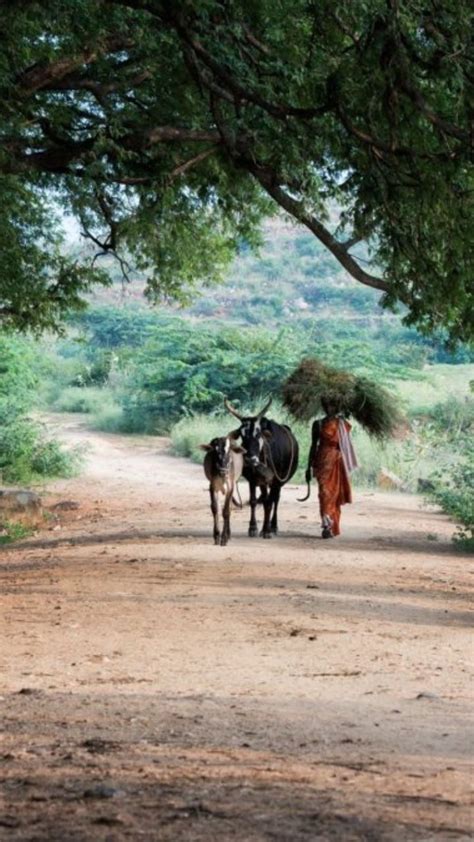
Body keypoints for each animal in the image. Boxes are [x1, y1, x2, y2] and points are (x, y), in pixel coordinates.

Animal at [225, 396, 298, 540]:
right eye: (242, 435)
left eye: (258, 434)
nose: (249, 459)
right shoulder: (253, 480)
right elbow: (254, 501)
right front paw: (253, 527)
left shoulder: (275, 480)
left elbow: (269, 503)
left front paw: (267, 530)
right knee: (266, 499)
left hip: (279, 482)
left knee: (275, 500)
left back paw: (273, 526)